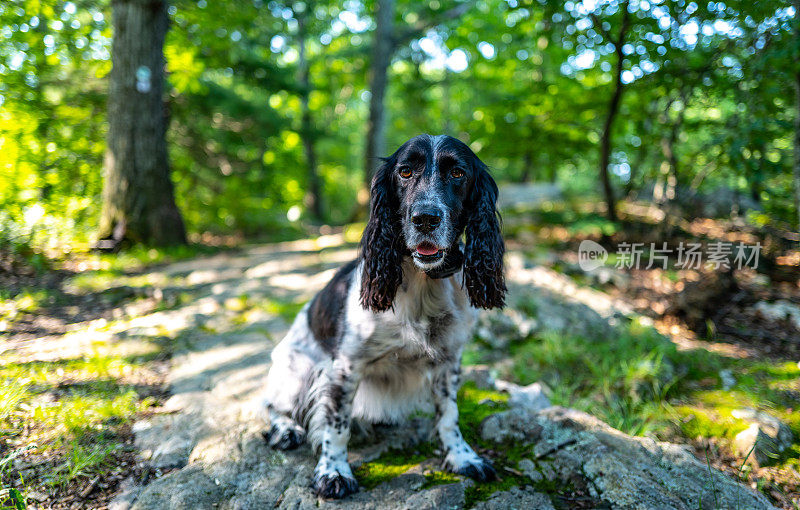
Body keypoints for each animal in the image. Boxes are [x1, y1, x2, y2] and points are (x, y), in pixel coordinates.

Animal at [262, 133, 506, 500]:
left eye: (458, 173)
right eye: (405, 171)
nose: (425, 218)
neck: (423, 282)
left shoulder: (449, 361)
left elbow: (449, 415)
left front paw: (463, 458)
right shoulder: (345, 367)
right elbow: (336, 426)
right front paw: (334, 472)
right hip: (297, 368)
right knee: (270, 403)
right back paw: (285, 428)